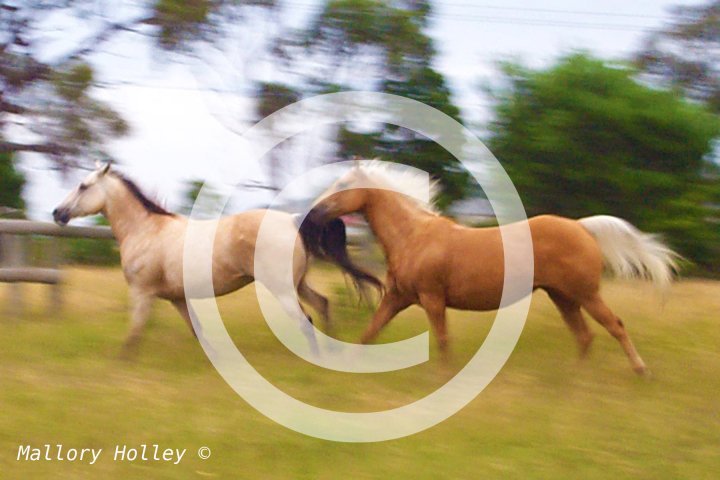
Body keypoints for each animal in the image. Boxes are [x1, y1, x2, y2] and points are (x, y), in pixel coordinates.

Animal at [52, 163, 382, 351]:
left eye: (83, 186)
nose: (57, 213)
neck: (146, 230)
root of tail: (293, 220)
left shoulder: (142, 292)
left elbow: (135, 331)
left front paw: (122, 363)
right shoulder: (177, 298)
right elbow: (197, 332)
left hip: (284, 291)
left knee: (307, 321)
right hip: (298, 284)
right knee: (323, 305)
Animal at [308, 162, 679, 375]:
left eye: (343, 186)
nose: (313, 211)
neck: (414, 236)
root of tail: (581, 227)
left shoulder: (431, 299)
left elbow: (442, 340)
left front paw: (443, 378)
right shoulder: (398, 297)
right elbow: (369, 332)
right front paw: (345, 366)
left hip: (585, 294)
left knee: (615, 326)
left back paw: (640, 370)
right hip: (563, 297)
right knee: (585, 336)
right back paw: (575, 377)